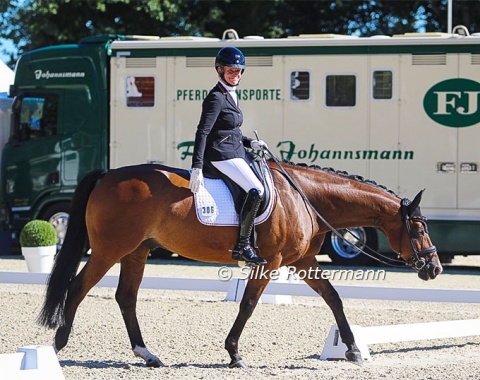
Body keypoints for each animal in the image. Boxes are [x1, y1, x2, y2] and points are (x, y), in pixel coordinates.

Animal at [37, 160, 442, 368]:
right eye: (419, 227)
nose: (435, 268)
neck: (305, 199)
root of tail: (107, 174)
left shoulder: (303, 260)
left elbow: (334, 298)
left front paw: (354, 350)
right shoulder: (271, 261)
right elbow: (247, 304)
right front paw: (233, 353)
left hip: (137, 251)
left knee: (126, 297)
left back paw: (147, 355)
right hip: (110, 249)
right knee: (77, 287)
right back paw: (54, 349)